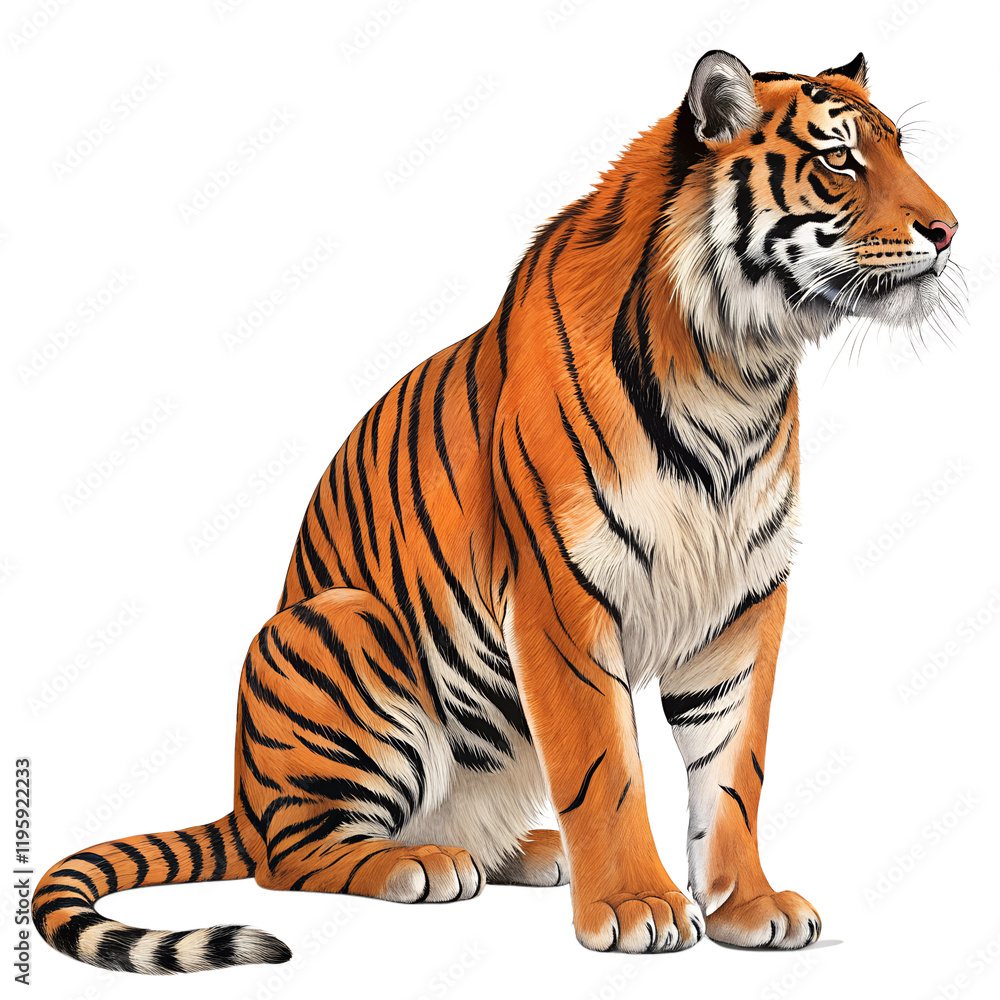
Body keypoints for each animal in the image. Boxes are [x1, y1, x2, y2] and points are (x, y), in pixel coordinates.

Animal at [34, 50, 958, 973]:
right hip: (338, 626)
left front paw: (750, 908)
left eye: (900, 149)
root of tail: (242, 798)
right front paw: (636, 907)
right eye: (838, 160)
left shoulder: (744, 607)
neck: (737, 368)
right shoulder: (562, 598)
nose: (948, 230)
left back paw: (520, 849)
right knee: (289, 858)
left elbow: (734, 771)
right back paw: (421, 863)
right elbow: (606, 766)